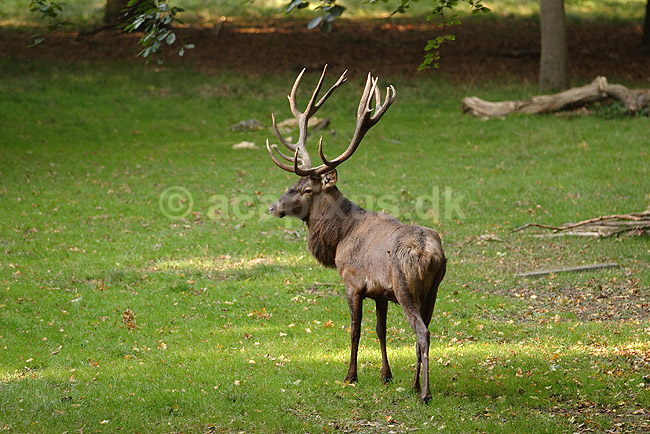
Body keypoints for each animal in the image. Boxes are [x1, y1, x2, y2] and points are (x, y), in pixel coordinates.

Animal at [266, 66, 446, 403]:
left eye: (306, 189)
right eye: (292, 185)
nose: (273, 207)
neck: (340, 237)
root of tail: (430, 253)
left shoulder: (352, 282)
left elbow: (355, 329)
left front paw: (350, 375)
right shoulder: (380, 292)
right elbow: (380, 330)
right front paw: (386, 375)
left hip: (405, 286)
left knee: (422, 332)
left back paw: (425, 393)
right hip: (432, 289)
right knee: (426, 329)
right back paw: (414, 384)